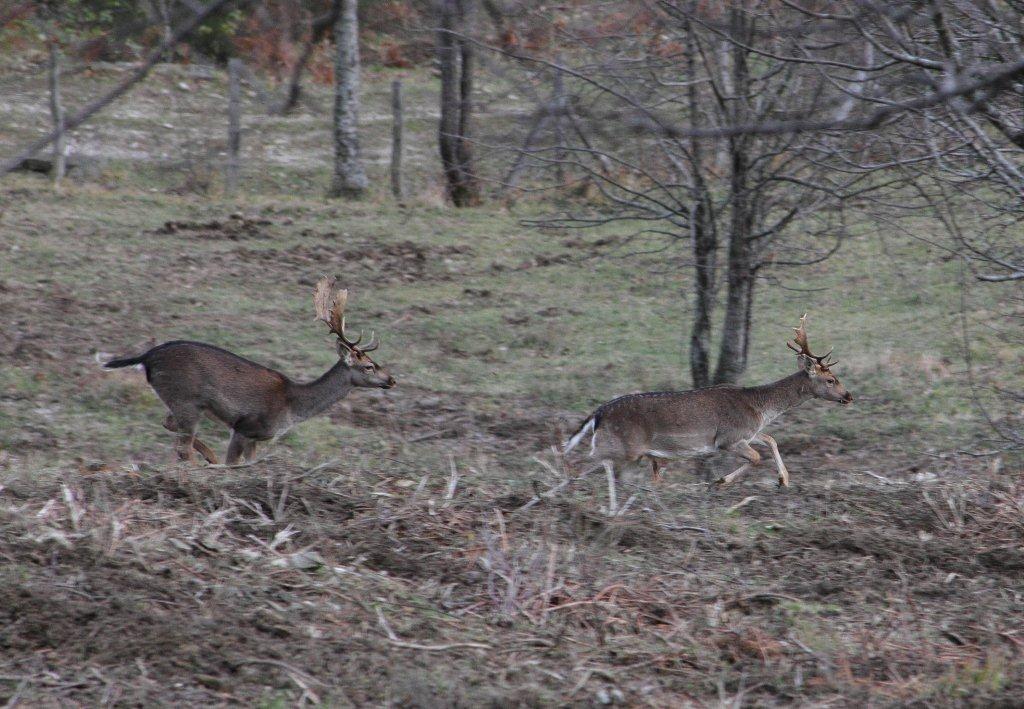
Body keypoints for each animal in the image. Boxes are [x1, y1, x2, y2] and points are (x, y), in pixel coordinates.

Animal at [101, 276, 393, 465]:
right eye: (369, 366)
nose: (391, 379)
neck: (291, 408)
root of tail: (147, 357)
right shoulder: (245, 426)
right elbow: (234, 463)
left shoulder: (257, 438)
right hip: (186, 398)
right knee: (182, 443)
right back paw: (203, 464)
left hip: (182, 401)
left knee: (170, 425)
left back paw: (209, 457)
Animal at [565, 317, 851, 510]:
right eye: (831, 380)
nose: (848, 396)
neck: (759, 407)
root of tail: (598, 414)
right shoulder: (728, 437)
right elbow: (757, 457)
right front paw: (720, 481)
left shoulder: (747, 432)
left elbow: (770, 439)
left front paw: (784, 480)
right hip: (623, 445)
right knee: (588, 462)